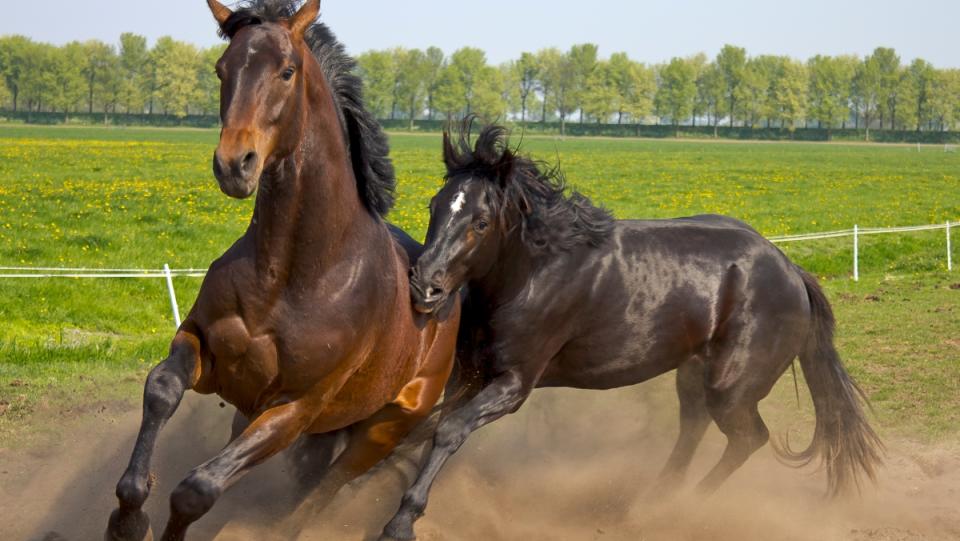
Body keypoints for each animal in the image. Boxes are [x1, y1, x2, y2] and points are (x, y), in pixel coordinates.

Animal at [105, 2, 462, 536]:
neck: (293, 275)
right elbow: (162, 389)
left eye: (287, 71)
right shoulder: (207, 353)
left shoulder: (294, 409)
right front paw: (126, 517)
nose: (235, 164)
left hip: (381, 430)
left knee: (317, 497)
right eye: (222, 68)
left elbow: (198, 489)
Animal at [378, 123, 880, 540]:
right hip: (693, 373)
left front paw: (400, 522)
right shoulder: (469, 375)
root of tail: (791, 270)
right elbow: (424, 427)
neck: (531, 275)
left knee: (747, 438)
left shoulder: (513, 384)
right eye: (435, 206)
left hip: (731, 388)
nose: (424, 285)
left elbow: (448, 431)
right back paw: (646, 504)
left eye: (480, 223)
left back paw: (675, 511)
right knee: (693, 427)